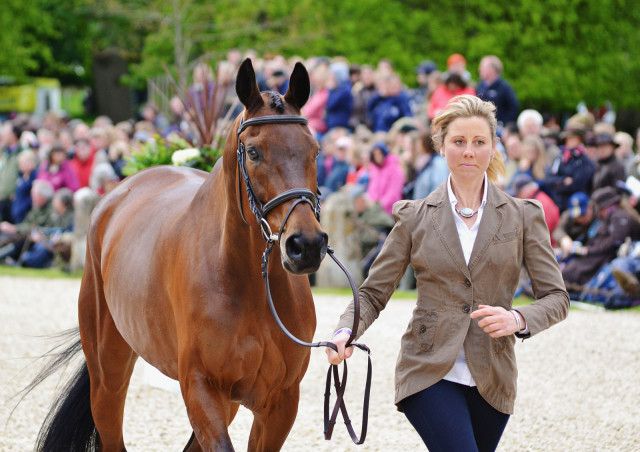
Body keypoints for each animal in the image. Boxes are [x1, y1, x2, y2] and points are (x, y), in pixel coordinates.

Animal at [32, 60, 328, 452]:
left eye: (315, 150)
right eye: (253, 152)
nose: (306, 245)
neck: (249, 284)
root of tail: (119, 193)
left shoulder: (279, 402)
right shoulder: (201, 388)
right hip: (108, 374)